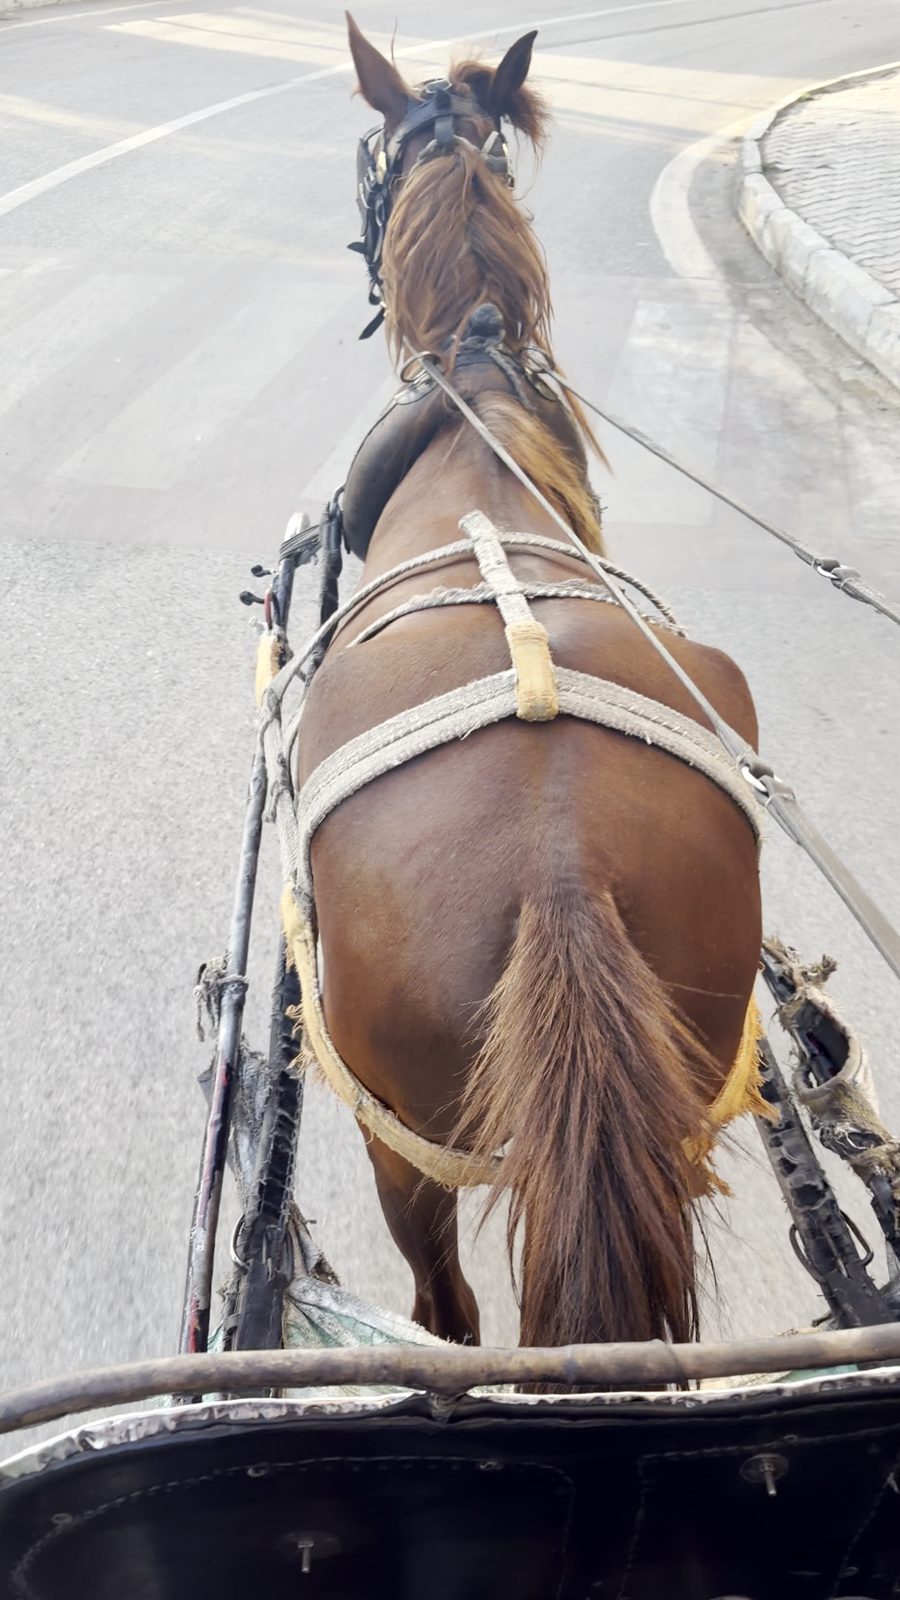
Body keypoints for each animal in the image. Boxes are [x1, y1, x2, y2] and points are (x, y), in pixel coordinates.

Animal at [292, 16, 763, 1351]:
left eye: (370, 169)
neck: (477, 385)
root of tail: (561, 872)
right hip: (673, 1114)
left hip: (401, 1137)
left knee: (443, 1303)